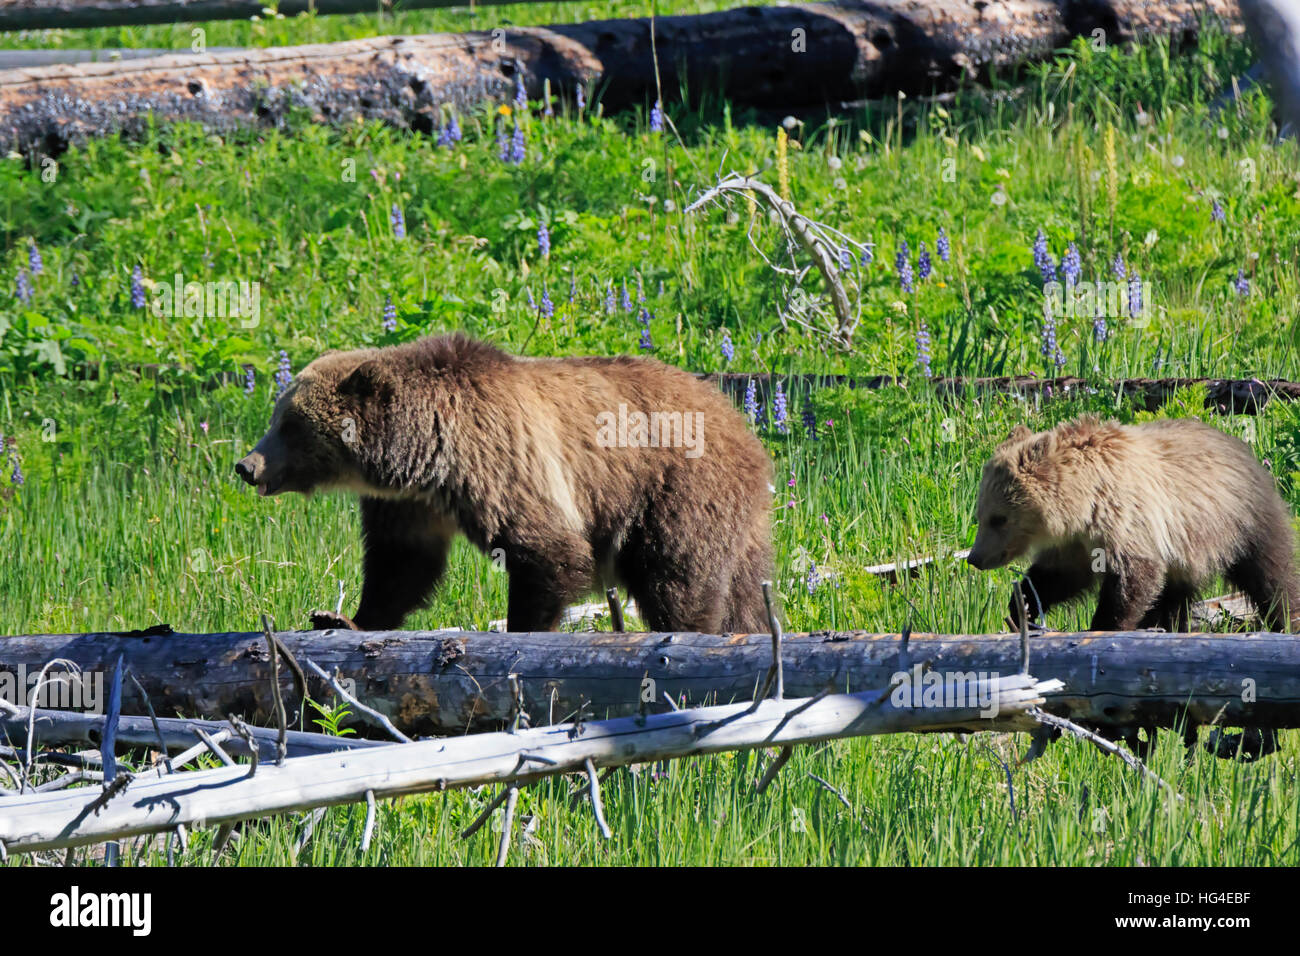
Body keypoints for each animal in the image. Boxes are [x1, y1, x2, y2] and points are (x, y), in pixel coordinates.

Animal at [233, 335, 769, 634]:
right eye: (278, 416)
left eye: (290, 424)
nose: (247, 465)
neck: (428, 454)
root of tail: (743, 425)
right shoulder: (409, 503)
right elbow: (401, 564)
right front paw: (342, 617)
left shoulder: (502, 464)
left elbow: (549, 552)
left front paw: (523, 631)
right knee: (746, 597)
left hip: (677, 490)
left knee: (678, 578)